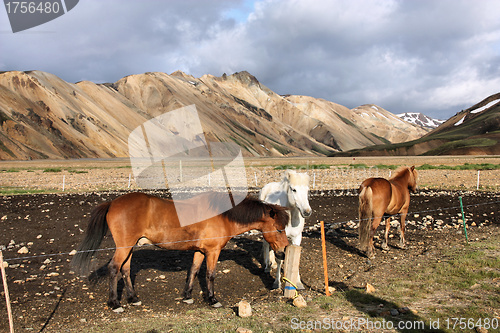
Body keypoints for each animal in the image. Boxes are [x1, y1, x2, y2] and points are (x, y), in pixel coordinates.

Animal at [71, 191, 290, 310]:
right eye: (279, 229)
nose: (283, 252)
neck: (222, 215)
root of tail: (113, 203)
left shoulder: (200, 251)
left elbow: (193, 270)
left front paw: (187, 296)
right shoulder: (213, 251)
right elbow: (210, 275)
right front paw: (212, 299)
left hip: (130, 248)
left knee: (125, 270)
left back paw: (133, 298)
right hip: (124, 247)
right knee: (114, 268)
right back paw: (115, 303)